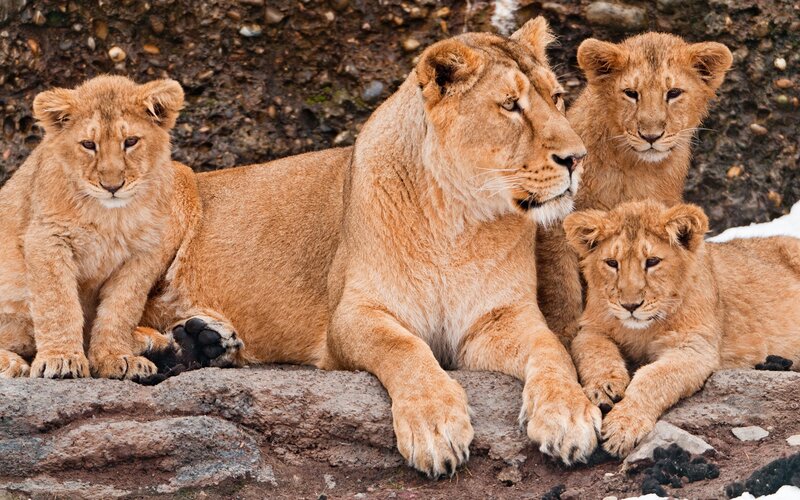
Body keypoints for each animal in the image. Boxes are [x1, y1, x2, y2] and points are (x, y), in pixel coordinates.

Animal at [0, 75, 200, 380]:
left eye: (130, 141)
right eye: (88, 144)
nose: (112, 186)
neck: (111, 216)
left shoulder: (145, 253)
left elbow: (121, 310)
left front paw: (116, 358)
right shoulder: (47, 238)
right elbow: (57, 303)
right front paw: (62, 360)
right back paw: (11, 363)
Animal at [142, 18, 603, 477]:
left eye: (557, 97)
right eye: (510, 105)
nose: (578, 158)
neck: (458, 220)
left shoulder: (498, 319)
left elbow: (553, 350)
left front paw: (568, 416)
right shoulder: (351, 315)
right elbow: (404, 348)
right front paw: (434, 426)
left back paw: (203, 340)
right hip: (175, 183)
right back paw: (159, 347)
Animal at [536, 33, 733, 343]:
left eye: (673, 93)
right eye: (630, 93)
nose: (651, 135)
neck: (635, 167)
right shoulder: (556, 221)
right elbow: (562, 287)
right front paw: (566, 334)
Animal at [564, 200, 800, 457]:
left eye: (652, 261)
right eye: (612, 263)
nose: (630, 306)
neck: (643, 329)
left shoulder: (695, 348)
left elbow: (653, 378)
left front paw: (623, 427)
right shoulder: (591, 328)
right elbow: (595, 351)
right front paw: (604, 387)